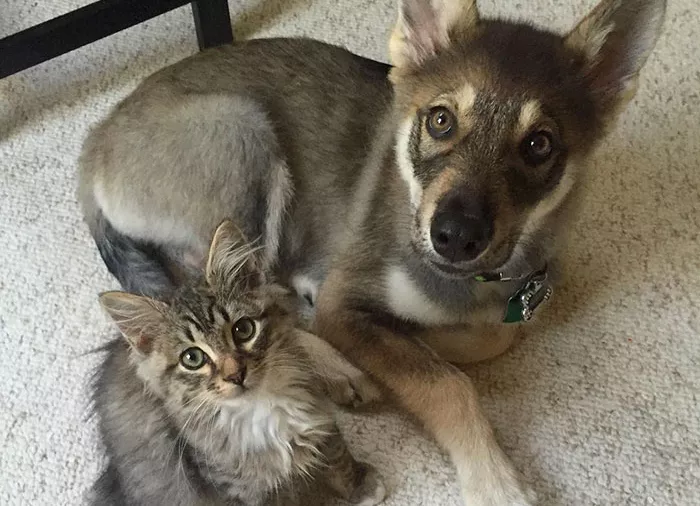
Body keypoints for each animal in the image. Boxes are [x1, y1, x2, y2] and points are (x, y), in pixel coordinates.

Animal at [90, 220, 386, 506]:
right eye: (192, 358)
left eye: (243, 330)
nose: (235, 374)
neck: (263, 406)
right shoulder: (239, 488)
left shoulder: (319, 415)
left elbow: (338, 456)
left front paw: (362, 486)